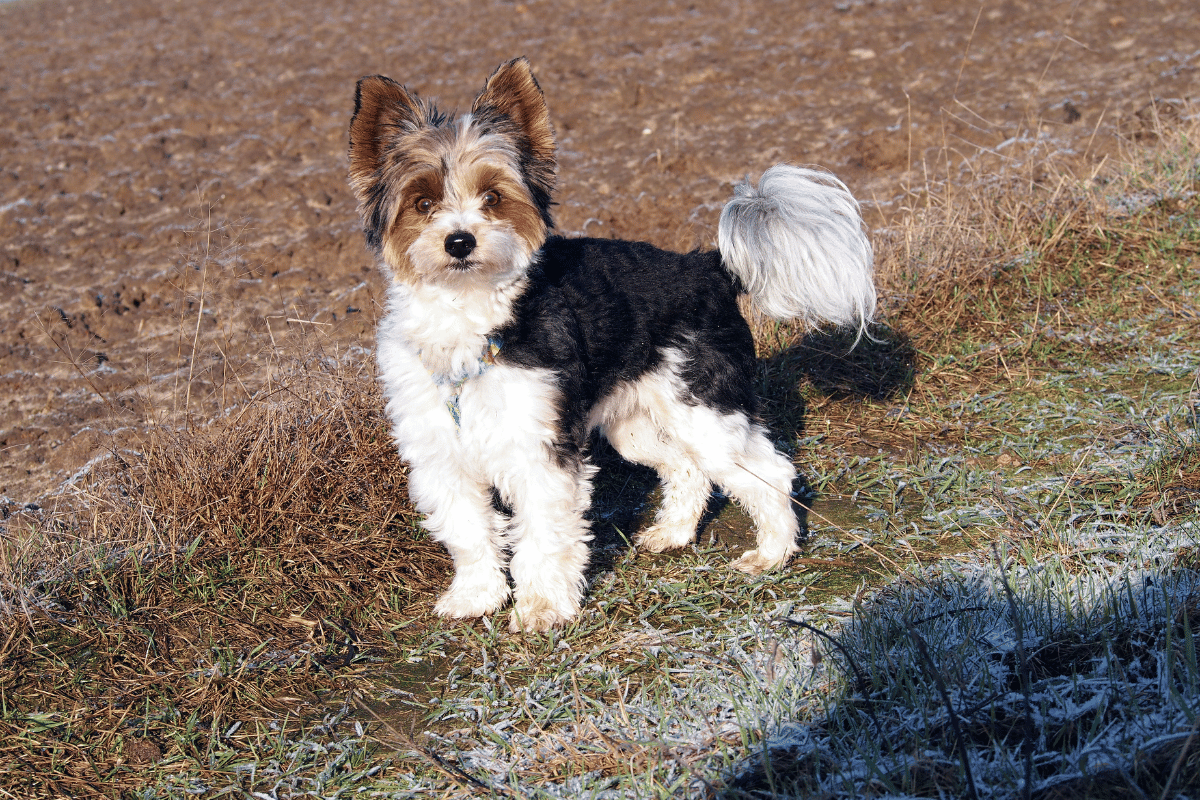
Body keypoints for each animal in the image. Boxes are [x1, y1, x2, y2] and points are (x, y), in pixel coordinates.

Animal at [345, 57, 873, 633]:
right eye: (422, 203)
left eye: (493, 197)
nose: (459, 241)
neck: (470, 318)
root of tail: (707, 267)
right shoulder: (441, 455)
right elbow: (468, 532)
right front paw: (476, 596)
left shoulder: (541, 452)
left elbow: (543, 537)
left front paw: (541, 607)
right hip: (636, 425)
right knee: (687, 469)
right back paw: (674, 534)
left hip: (706, 414)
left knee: (769, 471)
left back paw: (773, 553)